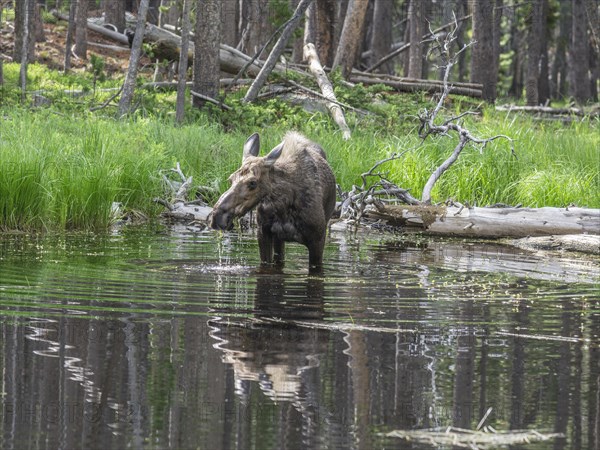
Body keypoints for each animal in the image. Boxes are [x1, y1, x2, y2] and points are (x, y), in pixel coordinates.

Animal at [209, 130, 336, 270]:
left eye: (252, 182)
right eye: (231, 179)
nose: (217, 216)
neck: (284, 205)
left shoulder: (318, 239)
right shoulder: (263, 234)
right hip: (278, 240)